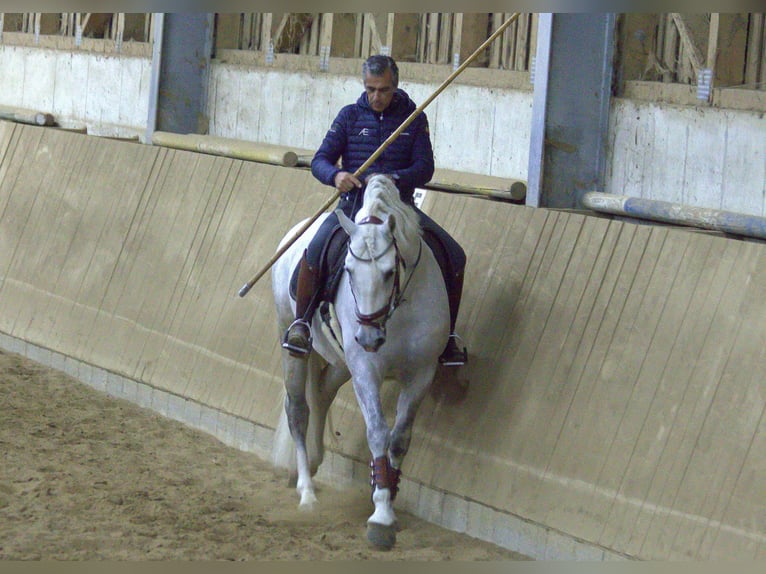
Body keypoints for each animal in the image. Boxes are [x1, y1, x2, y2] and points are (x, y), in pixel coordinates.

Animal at [272, 174, 450, 548]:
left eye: (389, 271)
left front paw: (389, 492)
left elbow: (399, 438)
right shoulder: (366, 371)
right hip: (292, 342)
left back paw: (312, 463)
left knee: (322, 393)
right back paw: (306, 492)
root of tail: (295, 234)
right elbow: (378, 432)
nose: (368, 338)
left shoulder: (421, 374)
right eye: (349, 271)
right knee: (298, 410)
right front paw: (380, 515)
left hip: (341, 363)